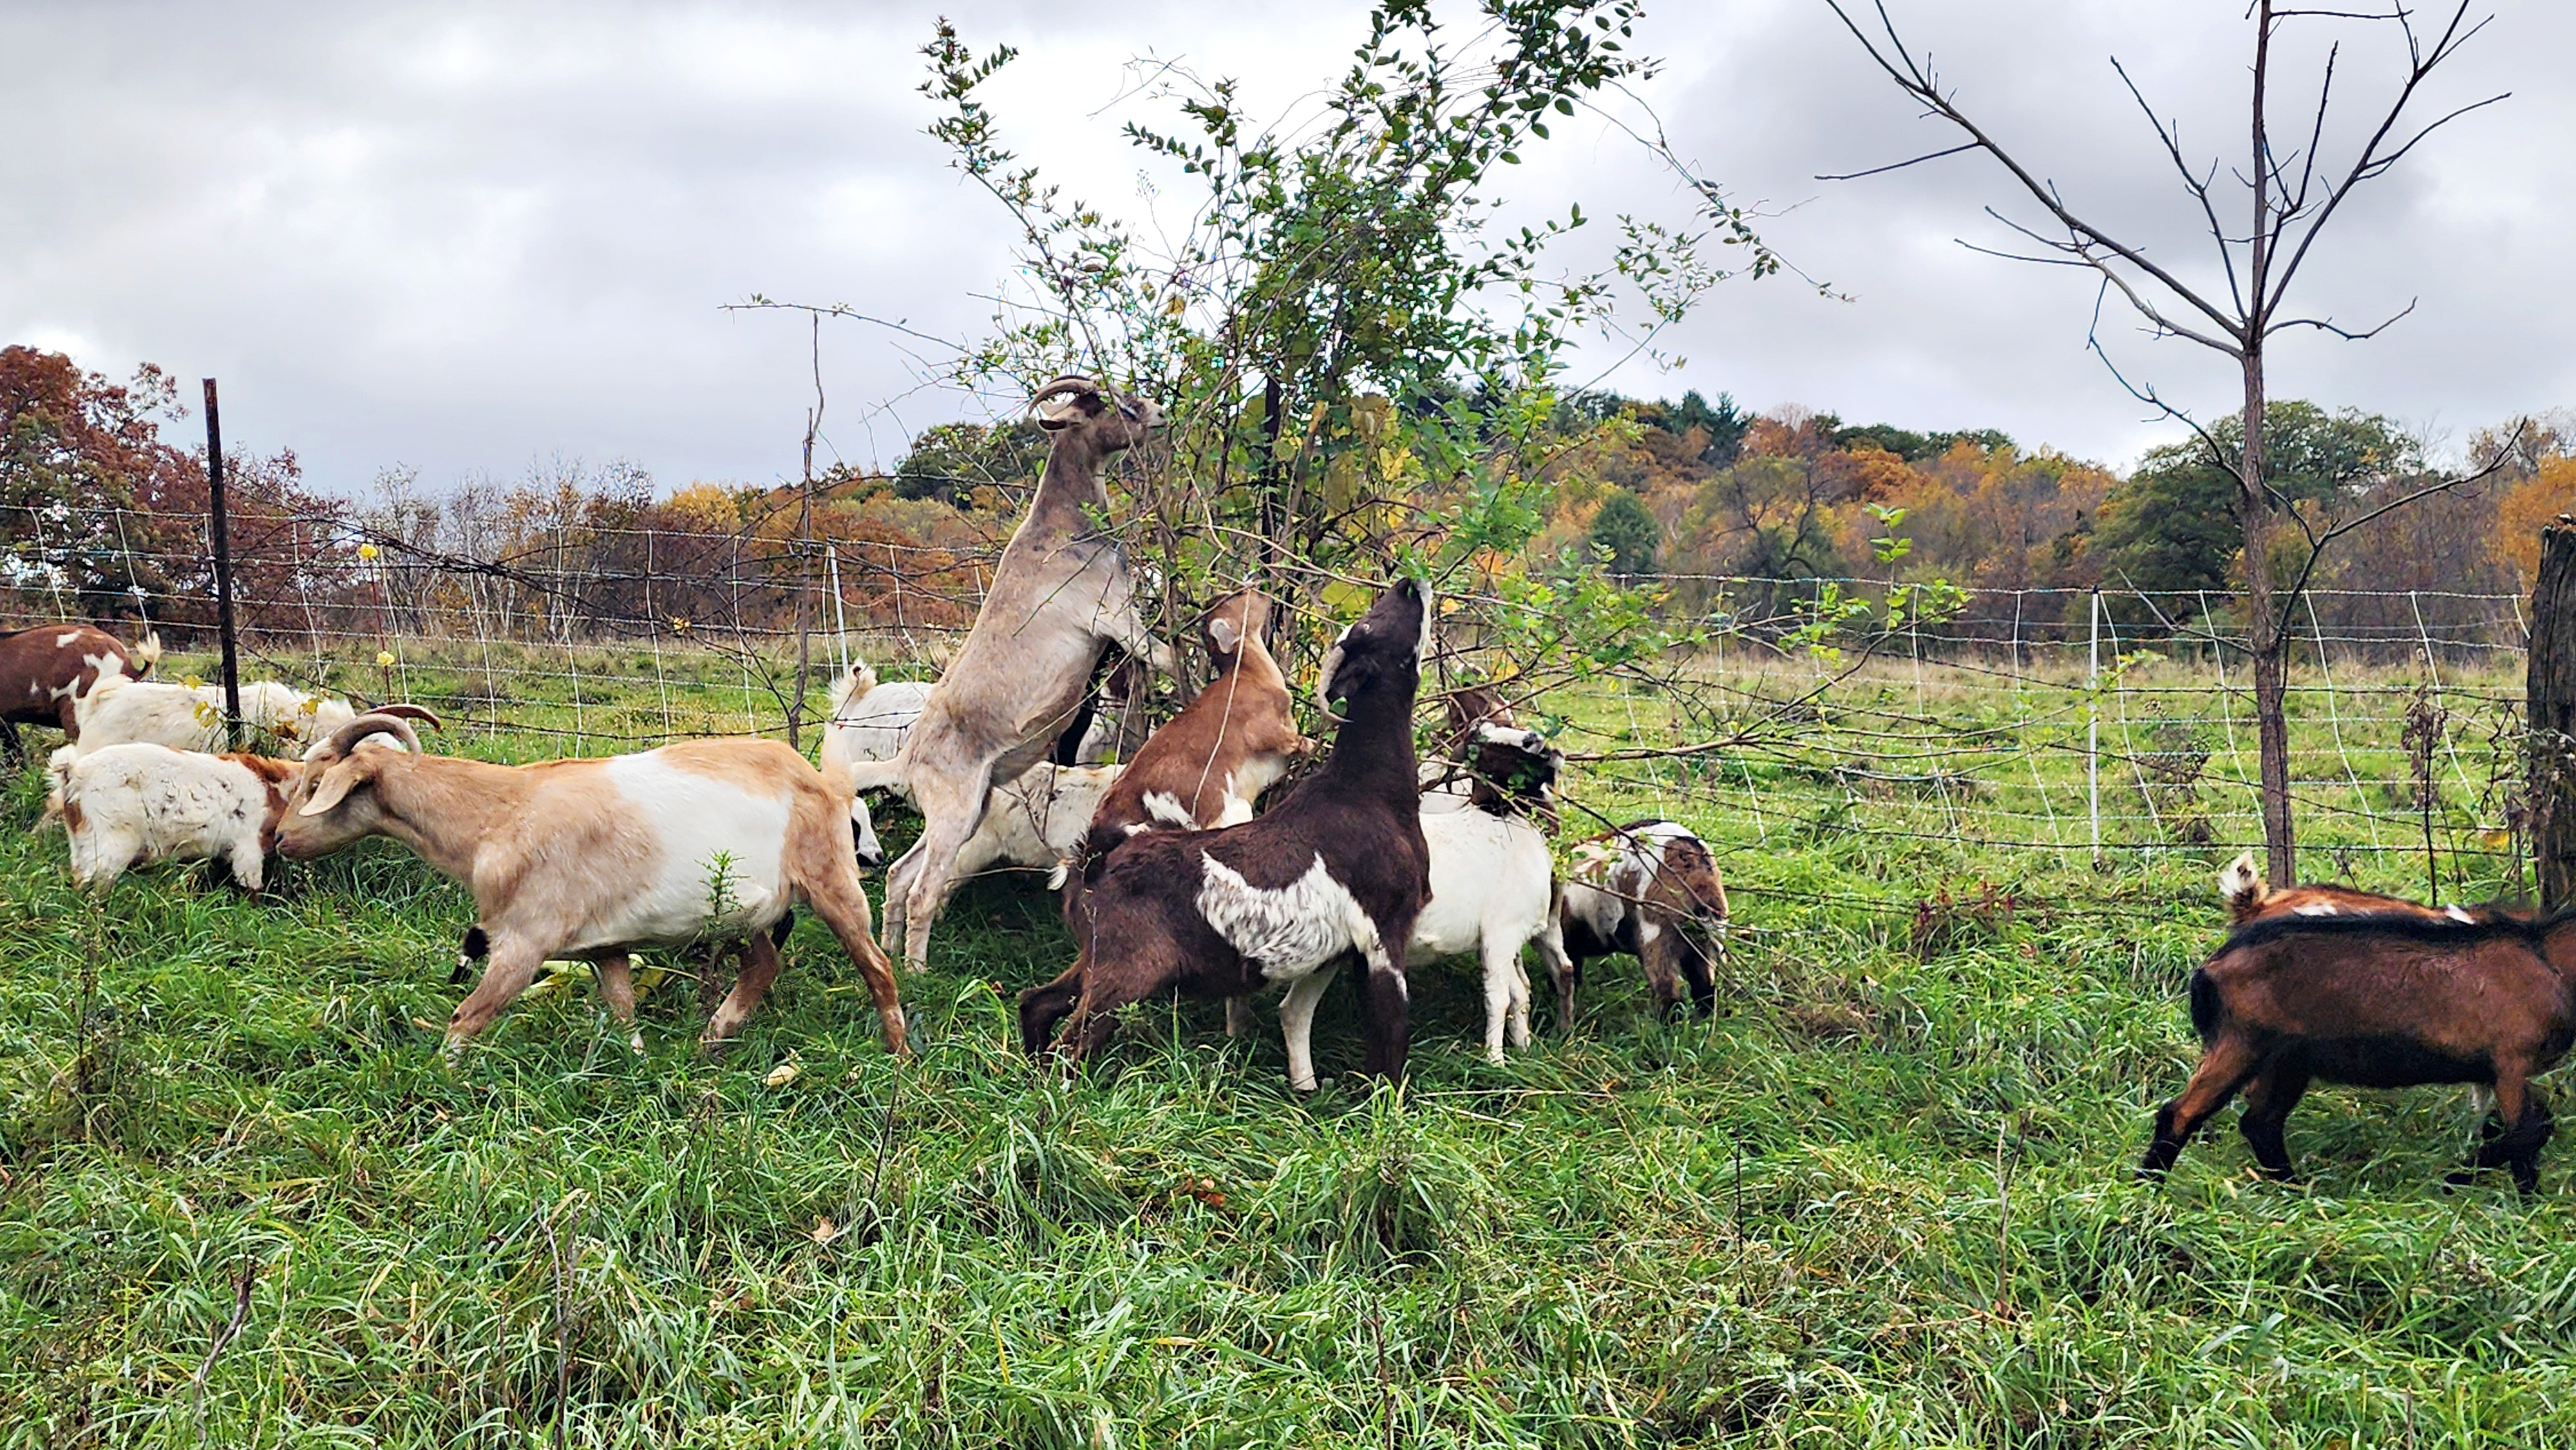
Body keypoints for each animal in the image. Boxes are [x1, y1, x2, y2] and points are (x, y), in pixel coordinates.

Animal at [48, 741, 303, 893]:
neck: (275, 787)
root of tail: (75, 774)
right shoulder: (248, 845)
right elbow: (251, 886)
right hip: (111, 844)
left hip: (81, 843)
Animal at [274, 713, 905, 1057]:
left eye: (316, 783)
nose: (280, 839)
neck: (497, 815)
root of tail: (820, 780)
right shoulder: (606, 946)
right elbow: (624, 1016)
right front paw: (640, 1071)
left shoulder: (522, 942)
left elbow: (467, 1018)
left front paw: (441, 1083)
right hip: (748, 912)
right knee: (763, 965)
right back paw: (713, 1038)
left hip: (832, 881)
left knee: (878, 967)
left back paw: (897, 1059)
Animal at [852, 376, 1174, 970]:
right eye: (1106, 404)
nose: (1159, 414)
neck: (1062, 530)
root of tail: (908, 761)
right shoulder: (1113, 616)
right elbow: (1157, 652)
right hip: (956, 811)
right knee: (925, 890)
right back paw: (919, 971)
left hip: (965, 811)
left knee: (899, 877)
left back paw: (890, 953)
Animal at [1018, 578, 1432, 1090]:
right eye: (1370, 626)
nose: (1410, 585)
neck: (1364, 791)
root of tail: (1090, 865)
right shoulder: (1385, 931)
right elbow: (1389, 1035)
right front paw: (1384, 1099)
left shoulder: (1337, 950)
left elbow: (1298, 1011)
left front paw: (1306, 1087)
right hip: (1129, 970)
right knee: (1071, 1045)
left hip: (1097, 957)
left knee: (1037, 1001)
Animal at [2140, 911, 2576, 1195]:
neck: (2549, 961)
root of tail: (2211, 967)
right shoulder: (2509, 1063)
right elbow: (2531, 1129)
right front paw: (2456, 1180)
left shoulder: (2502, 1072)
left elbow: (2529, 1130)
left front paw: (2526, 1203)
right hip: (2243, 1043)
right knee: (2181, 1112)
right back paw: (2148, 1191)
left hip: (2288, 1060)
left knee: (2260, 1123)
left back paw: (2295, 1193)